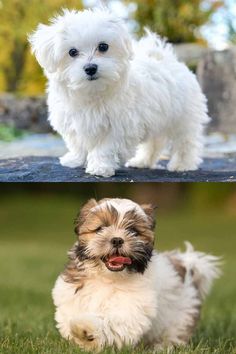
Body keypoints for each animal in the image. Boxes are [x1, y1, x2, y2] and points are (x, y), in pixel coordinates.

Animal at [29, 6, 208, 176]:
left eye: (103, 46)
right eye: (72, 52)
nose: (90, 68)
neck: (93, 93)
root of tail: (168, 59)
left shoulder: (119, 127)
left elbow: (105, 148)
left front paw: (100, 167)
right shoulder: (73, 121)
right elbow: (77, 143)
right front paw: (75, 160)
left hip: (183, 118)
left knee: (186, 142)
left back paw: (182, 164)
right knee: (154, 143)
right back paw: (142, 161)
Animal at [52, 198, 221, 352]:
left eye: (133, 231)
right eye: (100, 228)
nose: (117, 240)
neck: (108, 278)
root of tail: (185, 265)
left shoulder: (130, 309)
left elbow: (111, 323)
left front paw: (84, 328)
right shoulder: (71, 297)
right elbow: (68, 317)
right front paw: (79, 336)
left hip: (180, 318)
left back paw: (160, 347)